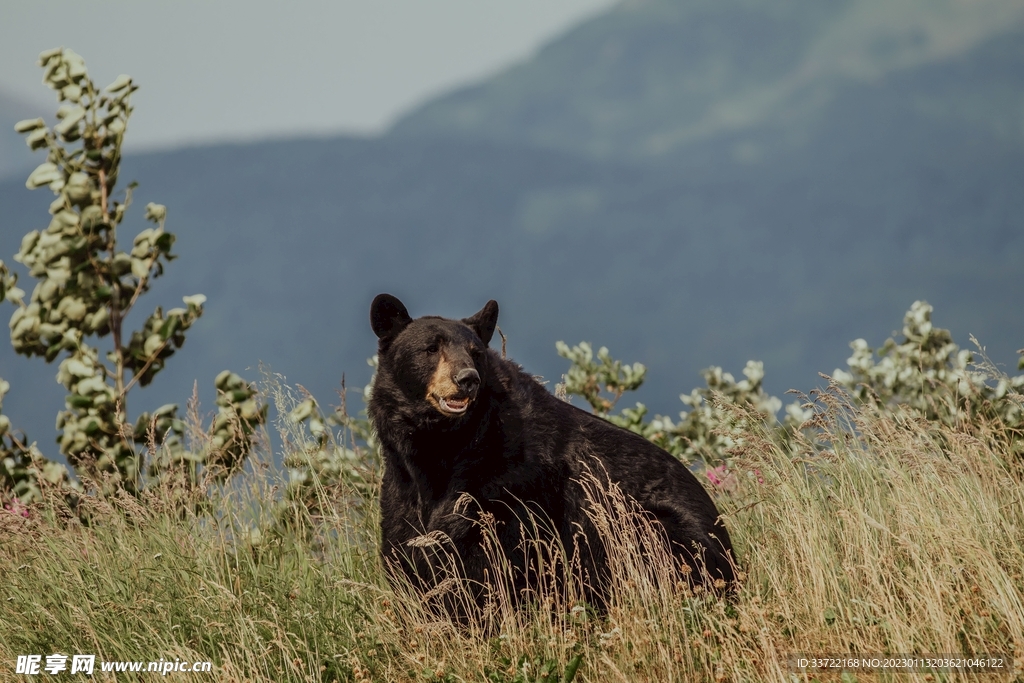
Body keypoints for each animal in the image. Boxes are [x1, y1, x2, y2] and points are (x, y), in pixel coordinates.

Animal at [368, 293, 735, 615]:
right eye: (431, 348)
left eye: (476, 353)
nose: (467, 379)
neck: (444, 446)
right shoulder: (402, 482)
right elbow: (406, 546)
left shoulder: (508, 483)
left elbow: (488, 559)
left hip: (653, 528)